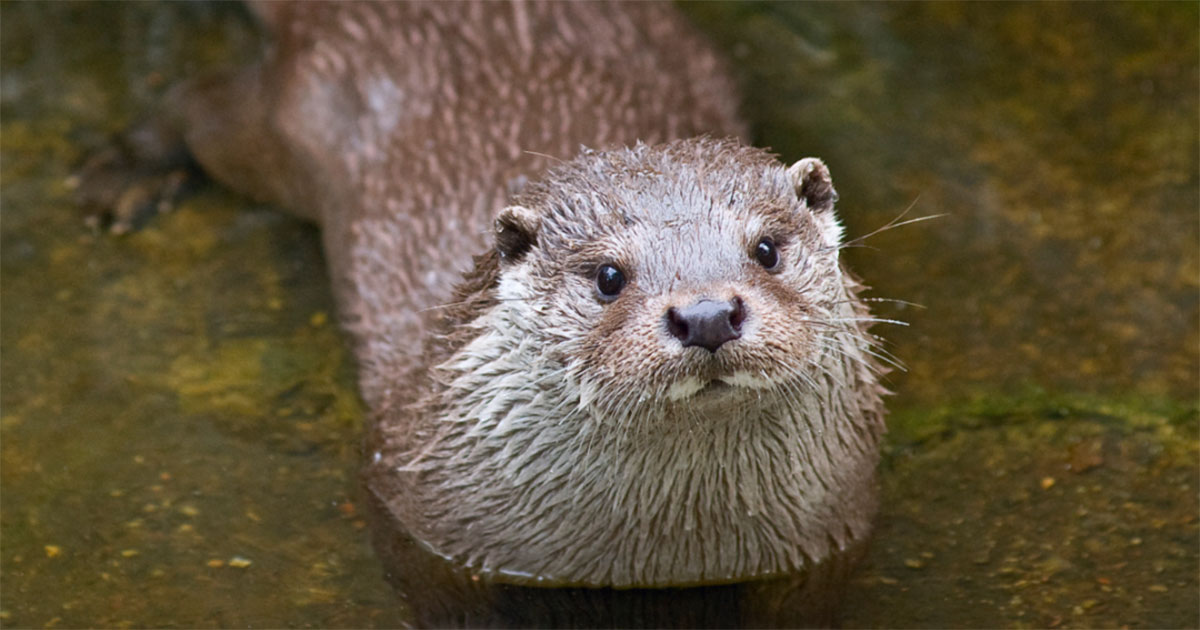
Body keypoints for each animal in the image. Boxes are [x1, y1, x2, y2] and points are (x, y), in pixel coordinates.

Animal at [78, 1, 887, 592]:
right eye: (608, 277)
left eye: (766, 249)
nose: (707, 314)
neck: (669, 557)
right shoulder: (424, 540)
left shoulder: (825, 551)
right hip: (285, 122)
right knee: (203, 104)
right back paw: (126, 173)